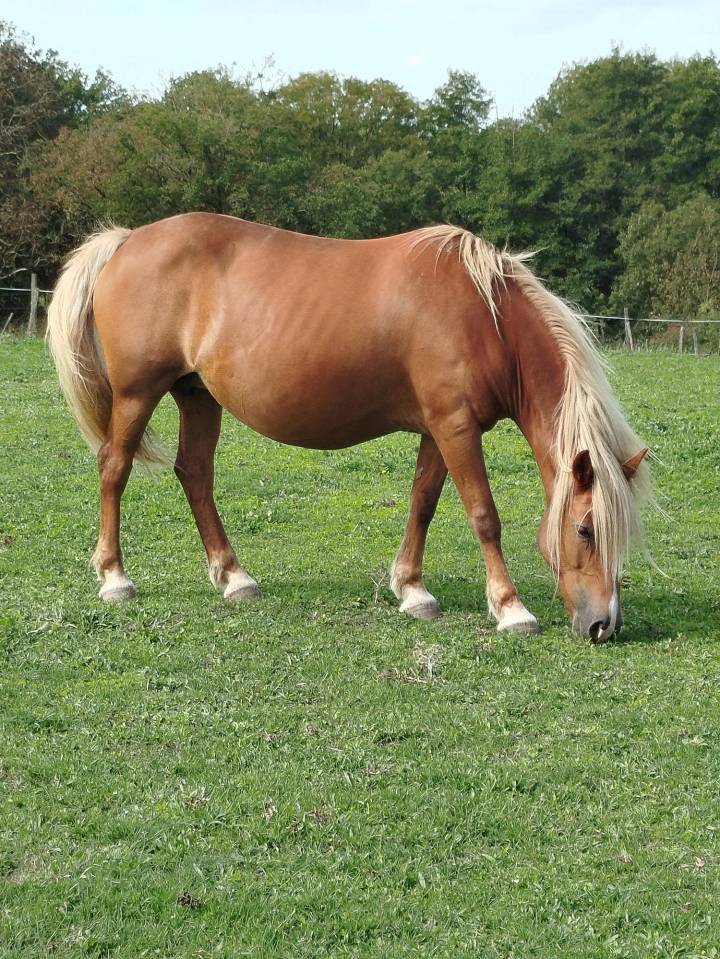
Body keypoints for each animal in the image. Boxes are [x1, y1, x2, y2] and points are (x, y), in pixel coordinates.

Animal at [47, 214, 651, 641]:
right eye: (585, 530)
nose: (604, 626)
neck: (486, 317)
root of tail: (128, 239)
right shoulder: (456, 427)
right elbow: (483, 515)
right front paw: (510, 608)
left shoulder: (438, 430)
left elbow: (423, 503)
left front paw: (412, 590)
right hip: (136, 395)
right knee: (114, 468)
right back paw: (115, 578)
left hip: (197, 396)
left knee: (194, 473)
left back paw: (234, 577)